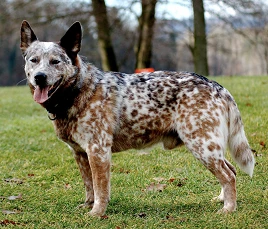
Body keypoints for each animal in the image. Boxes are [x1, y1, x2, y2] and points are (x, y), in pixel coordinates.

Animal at [19, 20, 254, 216]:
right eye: (34, 60)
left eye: (55, 61)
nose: (39, 77)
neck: (80, 90)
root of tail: (218, 86)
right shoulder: (80, 153)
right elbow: (89, 186)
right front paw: (88, 205)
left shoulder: (98, 151)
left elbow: (100, 188)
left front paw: (97, 213)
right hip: (210, 146)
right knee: (230, 170)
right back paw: (223, 199)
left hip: (202, 145)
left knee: (229, 175)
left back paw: (229, 208)